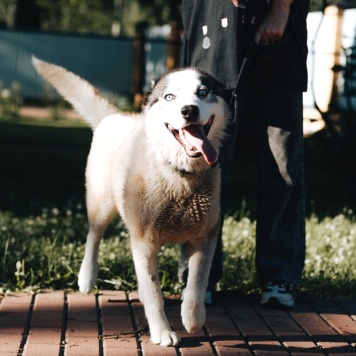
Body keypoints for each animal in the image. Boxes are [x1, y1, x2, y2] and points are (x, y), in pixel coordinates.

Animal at [32, 57, 229, 346]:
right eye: (169, 97)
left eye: (203, 92)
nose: (189, 110)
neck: (178, 175)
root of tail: (115, 116)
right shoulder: (144, 243)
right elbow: (154, 293)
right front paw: (162, 331)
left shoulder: (205, 238)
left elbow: (196, 287)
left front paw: (193, 320)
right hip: (101, 205)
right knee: (93, 236)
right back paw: (87, 277)